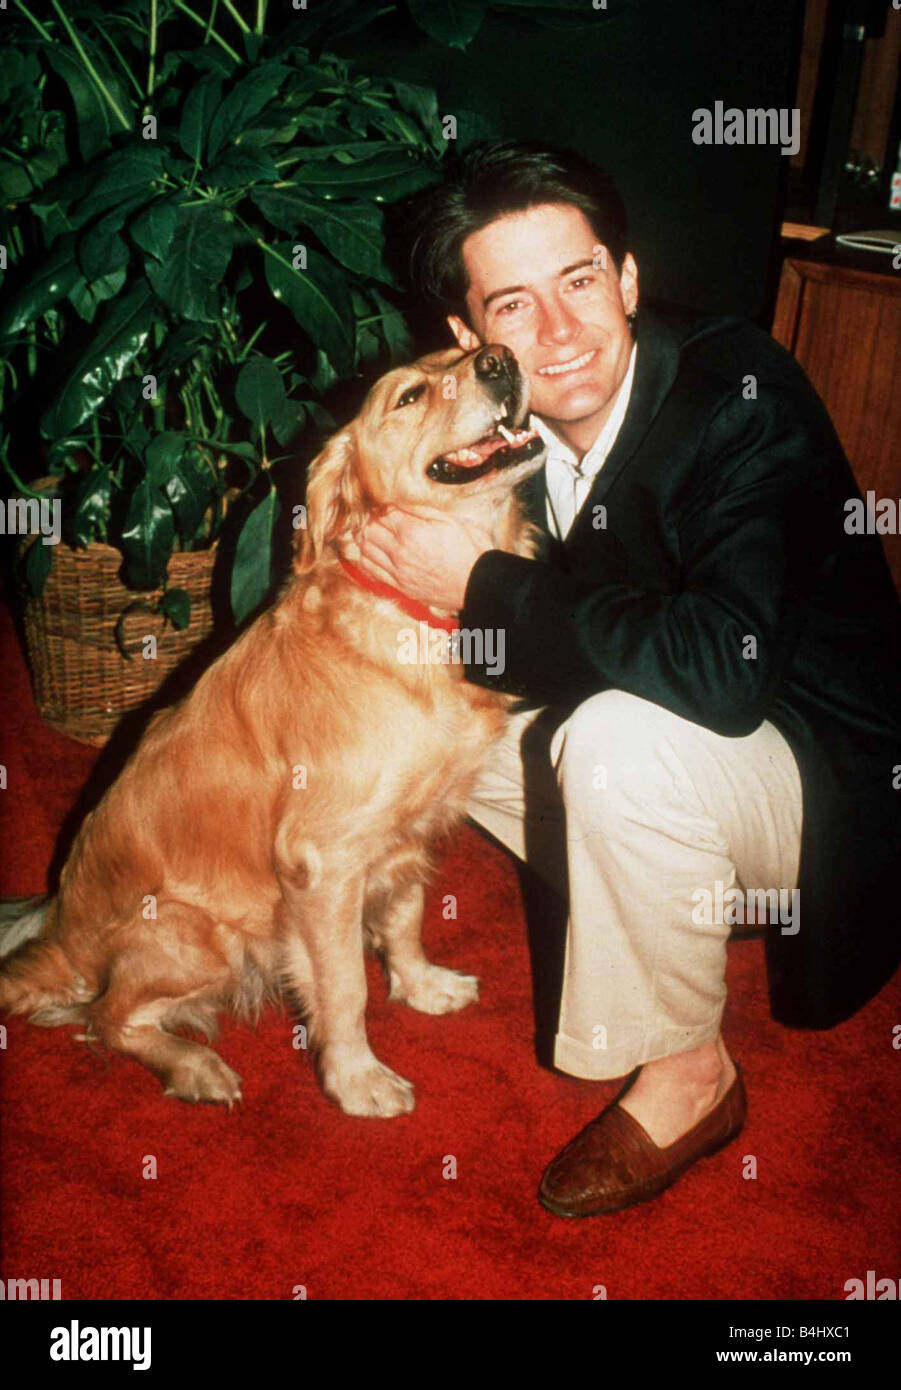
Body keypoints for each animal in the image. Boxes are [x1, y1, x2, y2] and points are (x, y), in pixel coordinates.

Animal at [0, 344, 542, 1117]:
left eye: (463, 351)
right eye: (408, 396)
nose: (500, 358)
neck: (403, 618)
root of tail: (59, 936)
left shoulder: (408, 832)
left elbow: (405, 916)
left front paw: (420, 986)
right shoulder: (323, 863)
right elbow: (344, 987)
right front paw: (356, 1079)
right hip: (198, 934)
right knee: (107, 1017)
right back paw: (196, 1066)